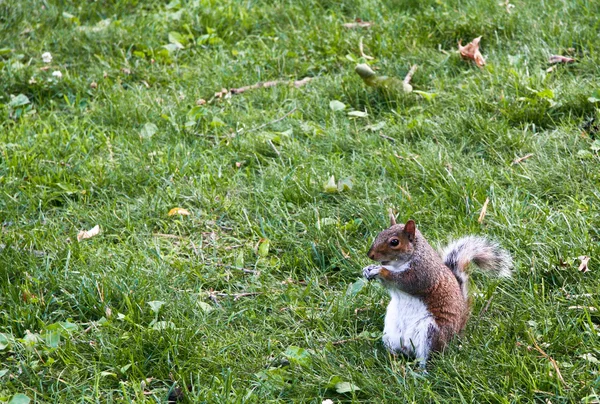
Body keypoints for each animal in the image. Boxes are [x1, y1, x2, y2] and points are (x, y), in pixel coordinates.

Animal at [360, 215, 510, 366]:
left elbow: (404, 281)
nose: (370, 255)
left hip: (430, 333)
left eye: (394, 242)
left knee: (428, 357)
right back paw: (391, 360)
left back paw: (421, 369)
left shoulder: (423, 273)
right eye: (379, 234)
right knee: (395, 351)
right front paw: (368, 269)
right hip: (391, 333)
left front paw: (380, 270)